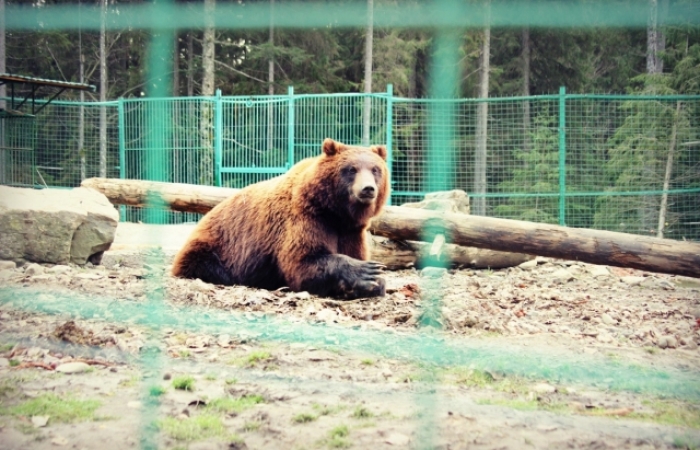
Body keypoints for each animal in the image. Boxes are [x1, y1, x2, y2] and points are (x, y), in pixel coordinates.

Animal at [170, 137, 388, 298]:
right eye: (351, 169)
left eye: (375, 169)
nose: (368, 189)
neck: (335, 212)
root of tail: (204, 218)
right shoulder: (308, 219)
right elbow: (302, 263)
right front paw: (366, 272)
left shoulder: (351, 231)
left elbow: (355, 253)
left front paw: (374, 281)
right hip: (216, 248)